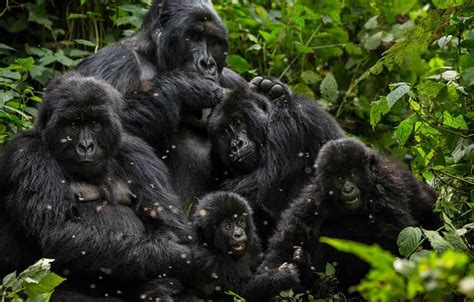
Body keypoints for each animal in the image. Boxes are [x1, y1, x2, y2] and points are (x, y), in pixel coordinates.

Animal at [0, 72, 193, 300]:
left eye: (94, 123)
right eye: (73, 124)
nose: (86, 146)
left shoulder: (140, 154)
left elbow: (168, 224)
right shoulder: (28, 155)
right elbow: (56, 230)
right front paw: (171, 255)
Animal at [75, 0, 246, 206]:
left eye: (213, 43)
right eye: (195, 37)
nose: (208, 63)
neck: (153, 55)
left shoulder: (235, 80)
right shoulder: (113, 61)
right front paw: (185, 86)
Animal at [258, 139, 438, 294]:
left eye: (352, 174)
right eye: (339, 178)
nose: (348, 189)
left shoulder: (385, 187)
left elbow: (396, 239)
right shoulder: (316, 197)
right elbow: (290, 235)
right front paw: (275, 280)